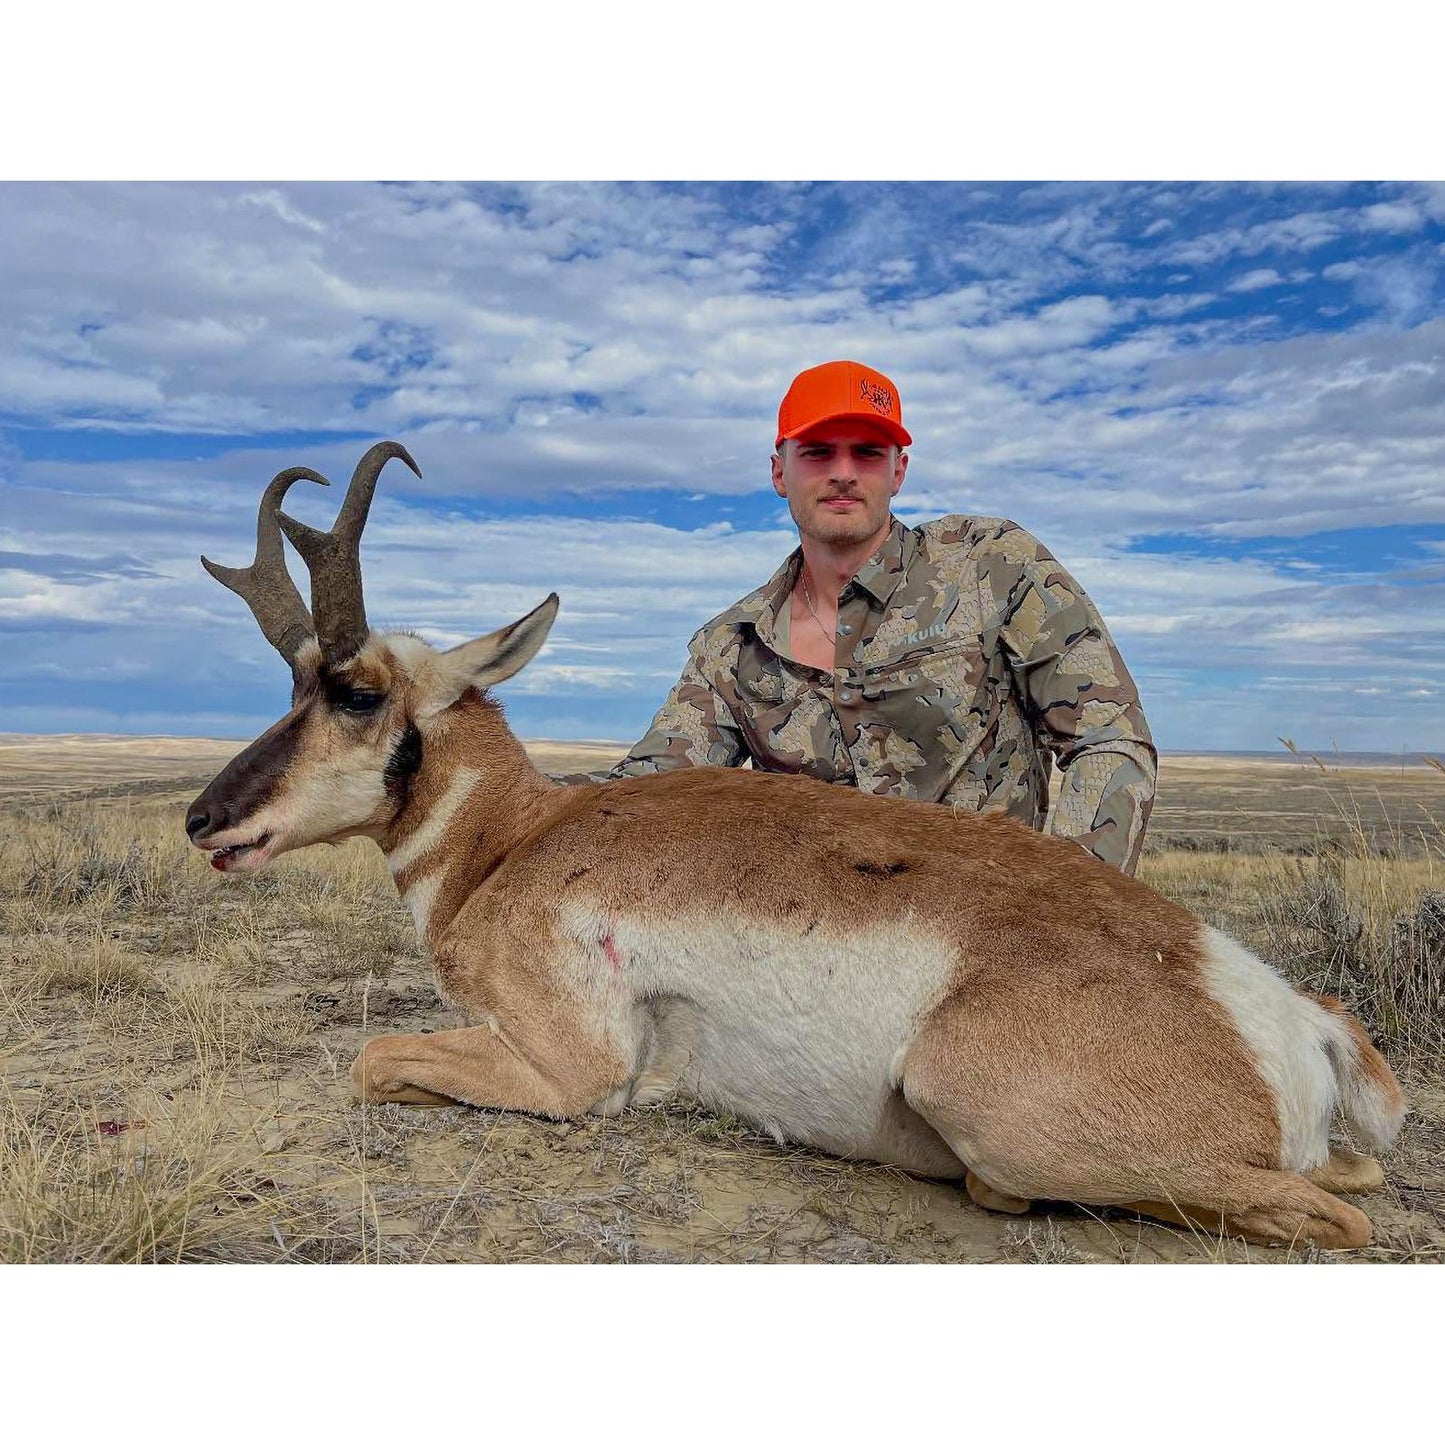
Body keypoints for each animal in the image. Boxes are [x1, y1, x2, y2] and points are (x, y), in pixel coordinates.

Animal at [187, 441, 1407, 1250]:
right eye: (291, 684)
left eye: (354, 690)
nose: (203, 818)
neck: (520, 840)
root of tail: (1279, 1010)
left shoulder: (568, 1068)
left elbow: (371, 1059)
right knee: (1350, 1180)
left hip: (978, 1101)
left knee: (1327, 1216)